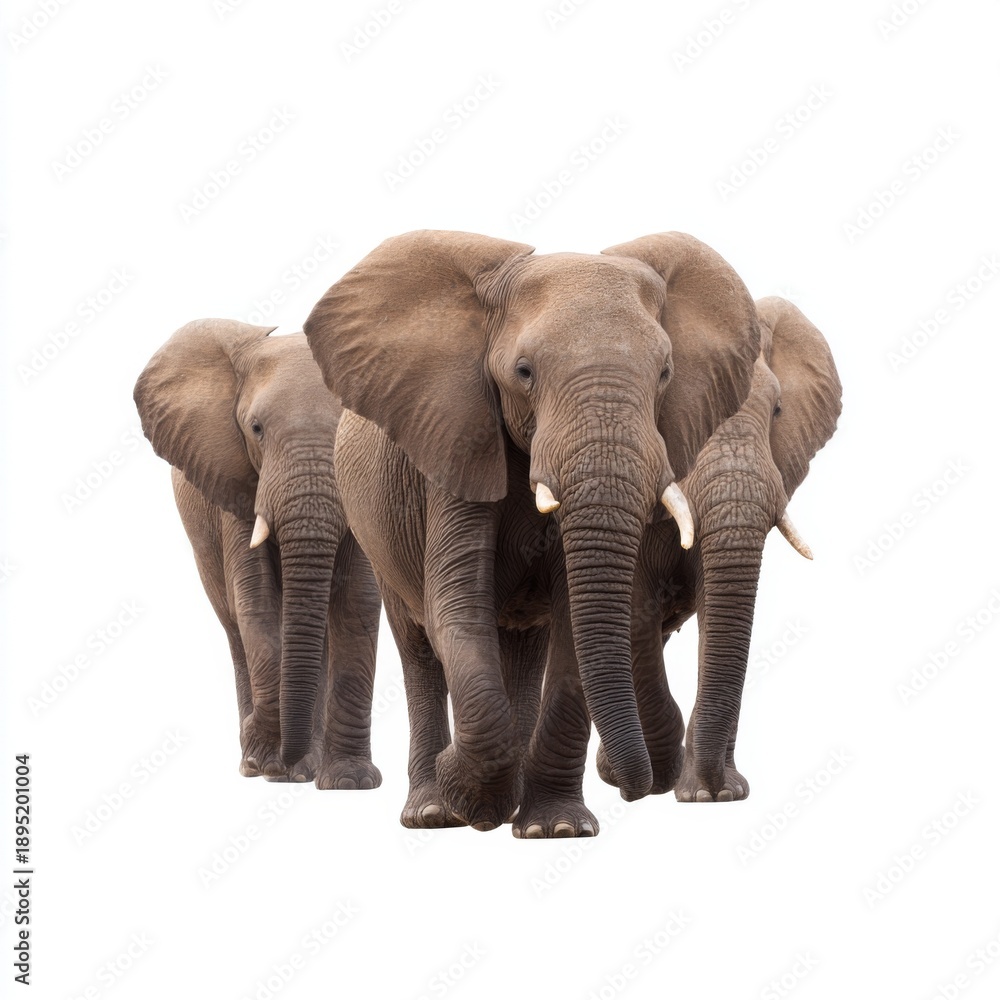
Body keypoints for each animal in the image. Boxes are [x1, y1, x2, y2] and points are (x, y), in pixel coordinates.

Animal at [133, 319, 382, 788]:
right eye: (255, 429)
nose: (281, 761)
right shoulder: (233, 481)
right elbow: (257, 602)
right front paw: (268, 762)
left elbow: (358, 603)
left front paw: (350, 782)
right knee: (236, 627)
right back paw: (261, 766)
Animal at [303, 229, 763, 835]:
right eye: (524, 371)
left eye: (665, 372)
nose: (638, 787)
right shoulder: (458, 440)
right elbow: (456, 606)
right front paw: (467, 798)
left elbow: (572, 631)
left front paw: (556, 828)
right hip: (376, 531)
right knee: (418, 644)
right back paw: (432, 811)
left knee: (524, 647)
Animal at [597, 296, 842, 802]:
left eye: (778, 410)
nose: (715, 787)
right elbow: (636, 609)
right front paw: (669, 782)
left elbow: (717, 610)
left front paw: (718, 795)